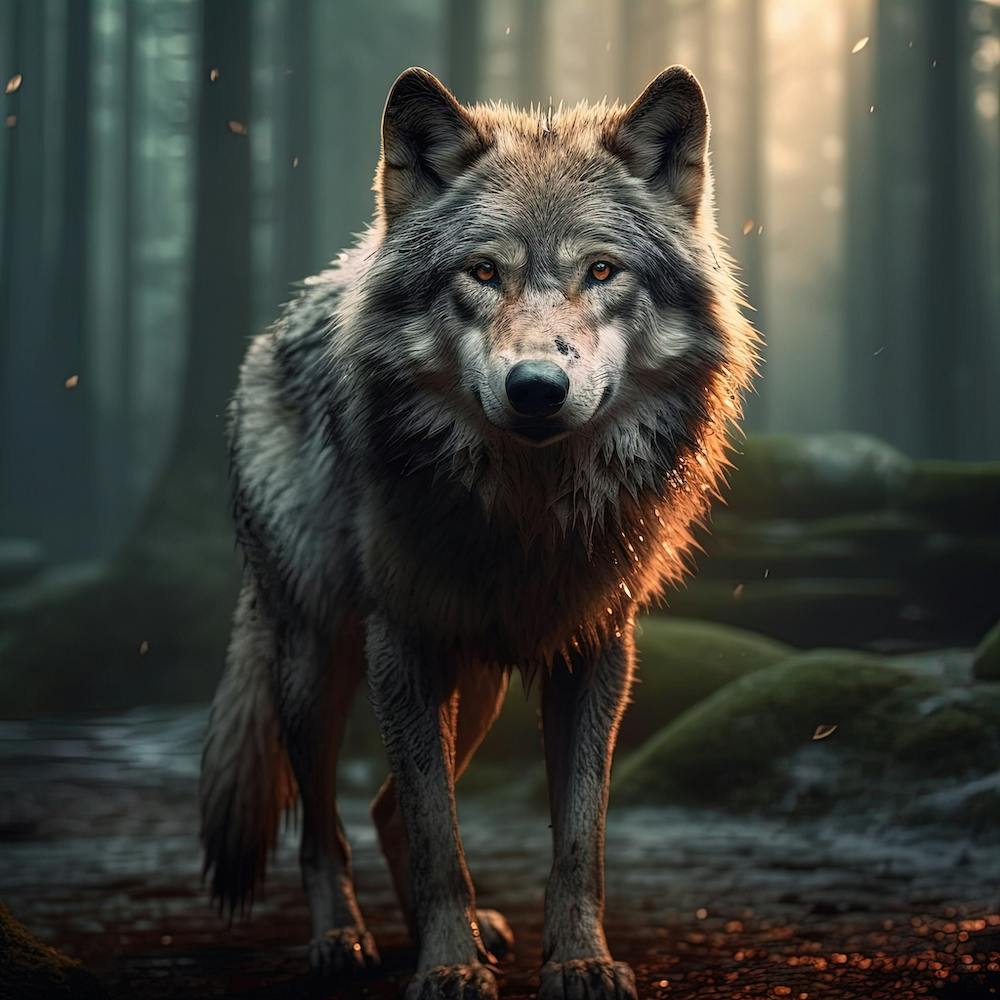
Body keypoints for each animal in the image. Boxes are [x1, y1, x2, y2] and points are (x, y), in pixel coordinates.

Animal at [200, 65, 757, 1000]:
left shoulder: (597, 649)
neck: (527, 512)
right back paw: (341, 937)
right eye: (484, 272)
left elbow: (576, 840)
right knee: (327, 821)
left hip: (483, 684)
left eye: (601, 270)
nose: (535, 386)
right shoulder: (401, 645)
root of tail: (278, 327)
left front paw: (579, 960)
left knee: (384, 806)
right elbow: (437, 837)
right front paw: (449, 968)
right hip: (317, 661)